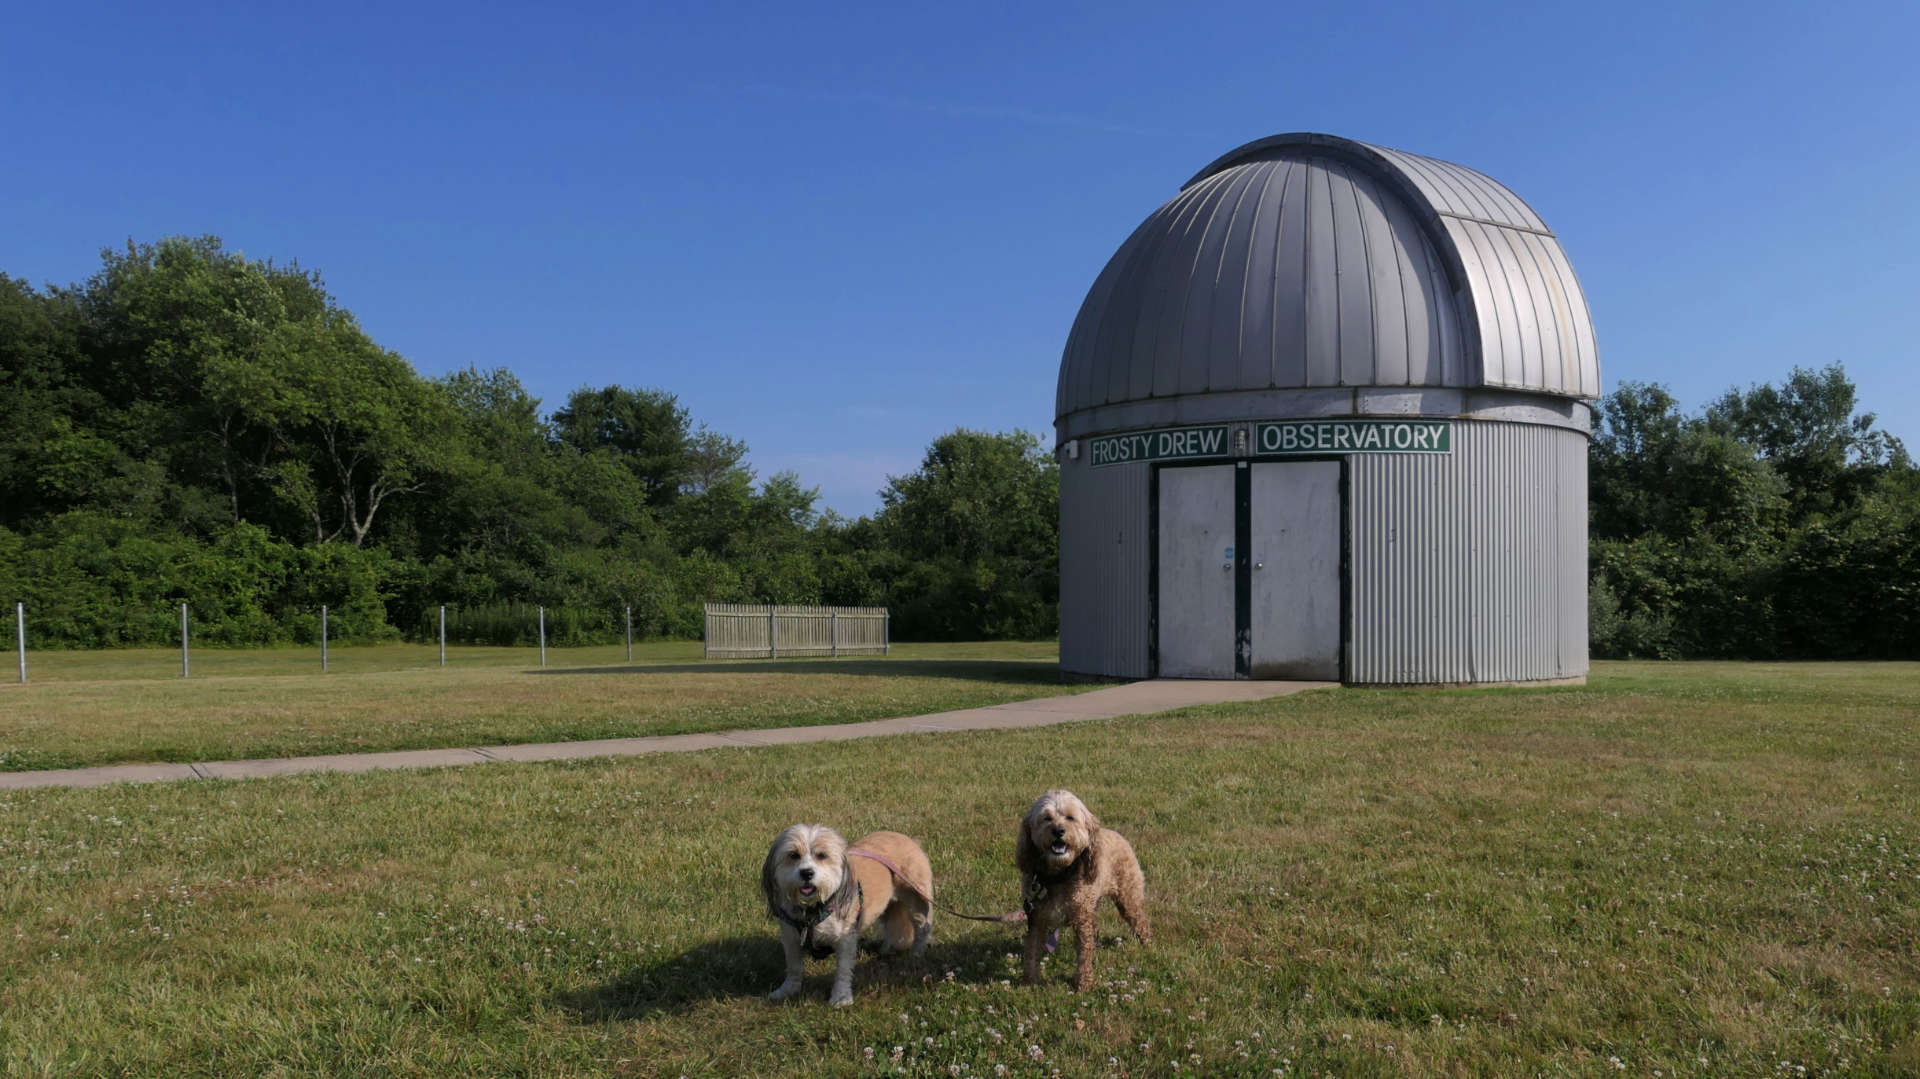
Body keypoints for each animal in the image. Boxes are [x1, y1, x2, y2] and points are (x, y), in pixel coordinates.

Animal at [760, 821, 933, 998]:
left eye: (822, 855)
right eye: (793, 855)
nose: (806, 873)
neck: (813, 910)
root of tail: (909, 840)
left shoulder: (845, 938)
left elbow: (843, 970)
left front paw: (841, 996)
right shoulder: (790, 938)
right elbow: (794, 967)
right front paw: (787, 989)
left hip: (917, 900)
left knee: (922, 929)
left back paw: (916, 955)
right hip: (888, 906)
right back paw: (887, 949)